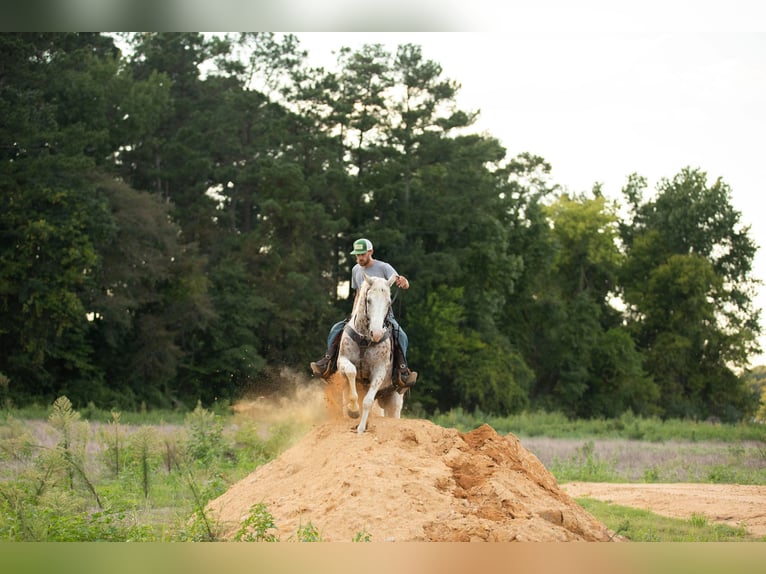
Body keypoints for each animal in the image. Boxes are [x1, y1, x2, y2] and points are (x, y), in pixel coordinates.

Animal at [338, 272, 404, 434]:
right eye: (369, 300)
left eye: (388, 303)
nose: (377, 334)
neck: (365, 339)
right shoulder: (342, 360)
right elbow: (351, 372)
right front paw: (353, 410)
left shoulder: (379, 370)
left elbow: (367, 402)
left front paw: (361, 429)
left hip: (394, 402)